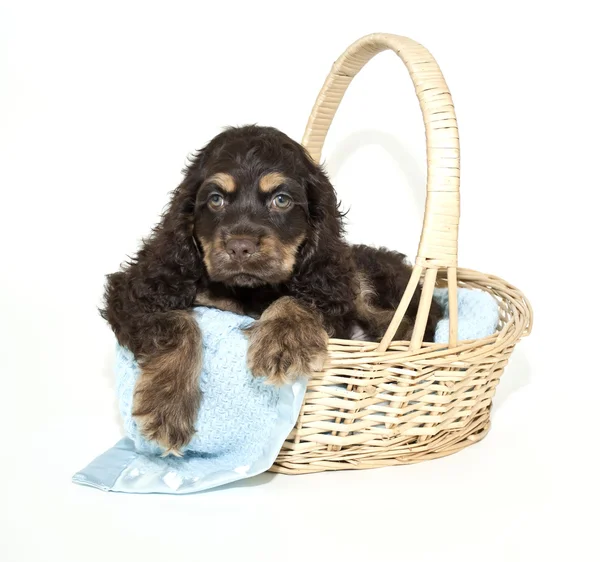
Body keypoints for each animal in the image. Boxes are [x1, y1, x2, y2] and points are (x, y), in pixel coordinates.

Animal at [102, 124, 440, 452]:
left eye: (281, 200)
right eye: (215, 199)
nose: (240, 247)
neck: (249, 290)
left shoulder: (330, 291)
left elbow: (298, 298)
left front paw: (284, 340)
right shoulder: (135, 294)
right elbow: (178, 322)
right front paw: (166, 404)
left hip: (361, 279)